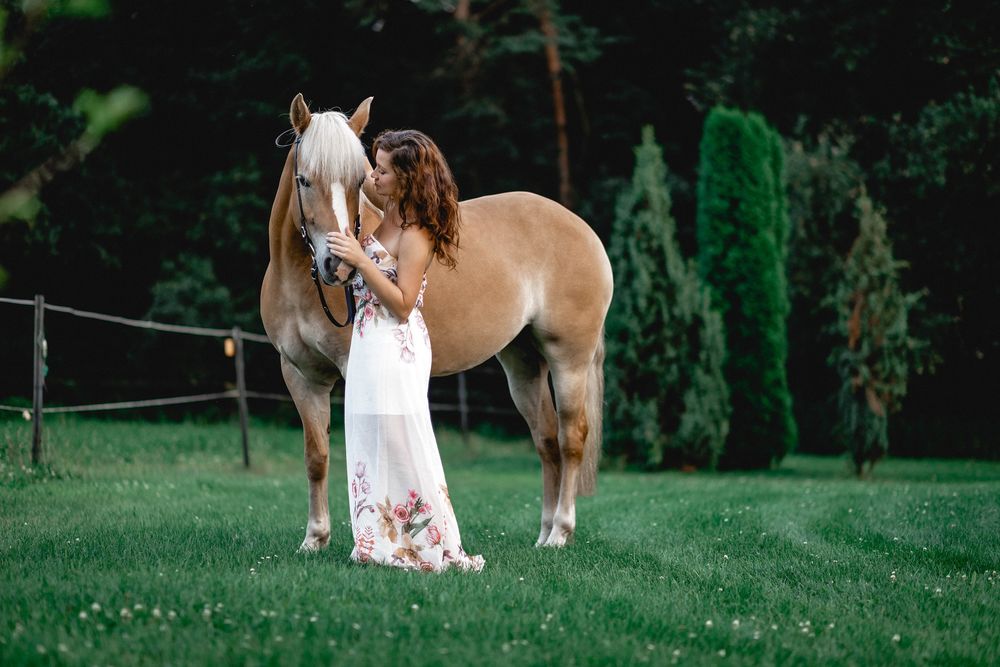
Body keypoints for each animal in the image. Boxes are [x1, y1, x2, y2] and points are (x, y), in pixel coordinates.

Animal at [260, 94, 613, 551]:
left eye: (358, 182)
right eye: (303, 180)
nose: (337, 265)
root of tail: (581, 228)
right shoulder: (300, 375)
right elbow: (316, 456)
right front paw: (315, 539)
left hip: (569, 358)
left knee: (571, 439)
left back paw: (561, 533)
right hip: (522, 365)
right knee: (547, 441)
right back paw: (544, 533)